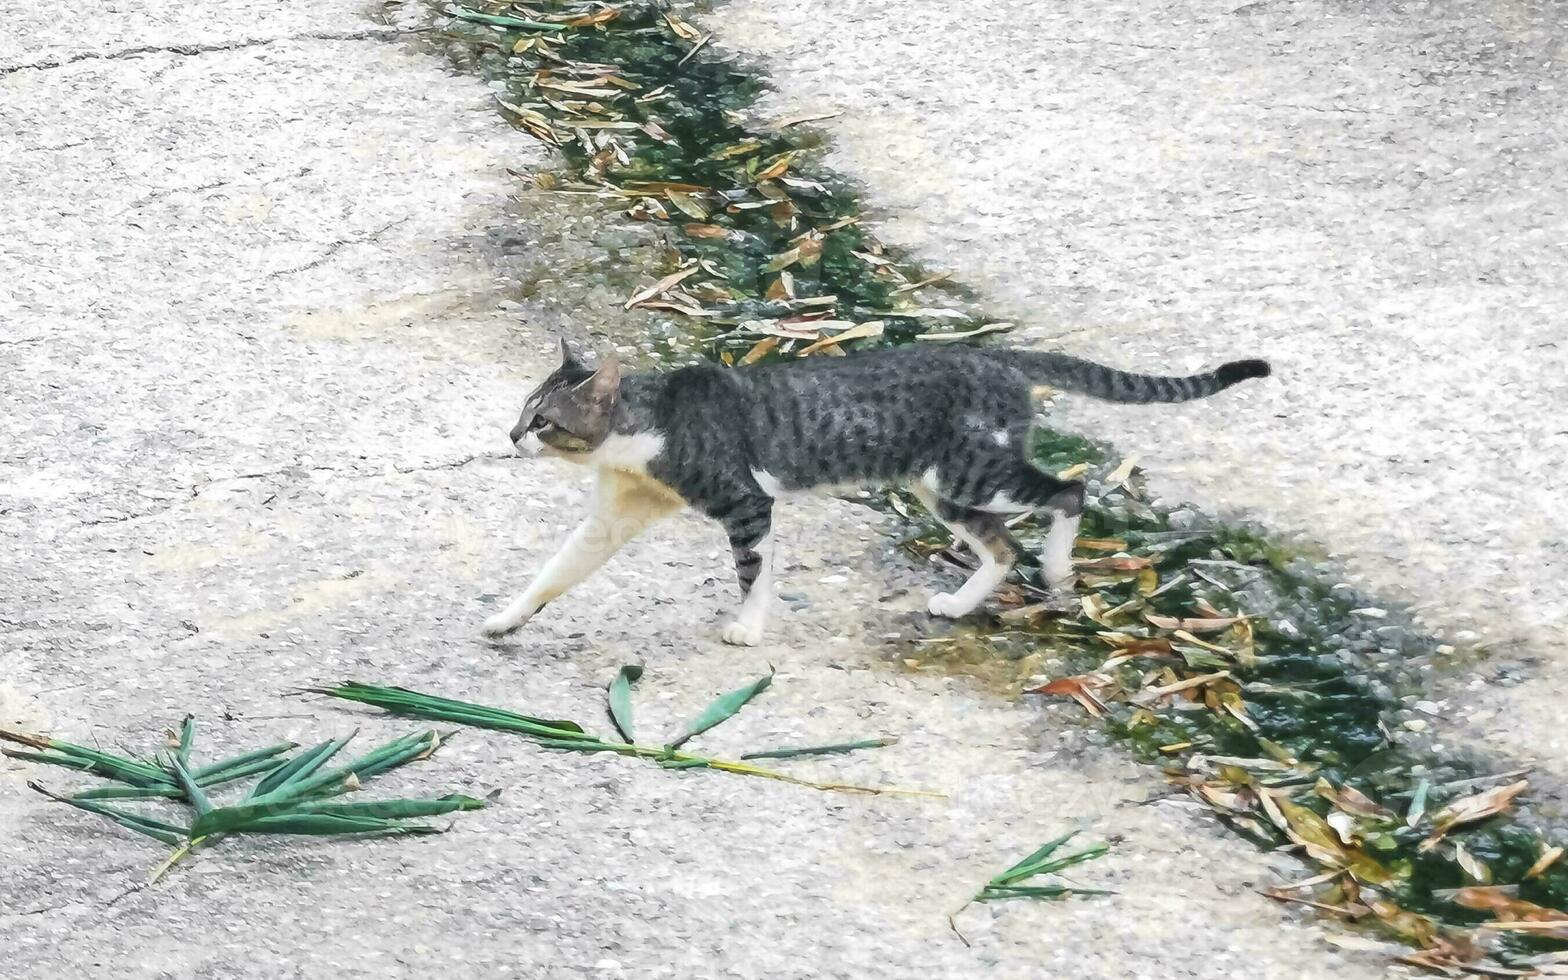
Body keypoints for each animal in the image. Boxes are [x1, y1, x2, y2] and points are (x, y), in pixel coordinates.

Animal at [482, 340, 1266, 646]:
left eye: (544, 421)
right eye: (524, 410)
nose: (511, 435)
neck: (646, 431)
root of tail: (993, 352)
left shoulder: (747, 502)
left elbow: (753, 570)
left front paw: (748, 627)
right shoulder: (613, 517)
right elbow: (554, 570)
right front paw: (507, 617)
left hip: (976, 474)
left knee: (1070, 492)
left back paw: (1057, 570)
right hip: (945, 489)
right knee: (1000, 547)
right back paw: (961, 603)